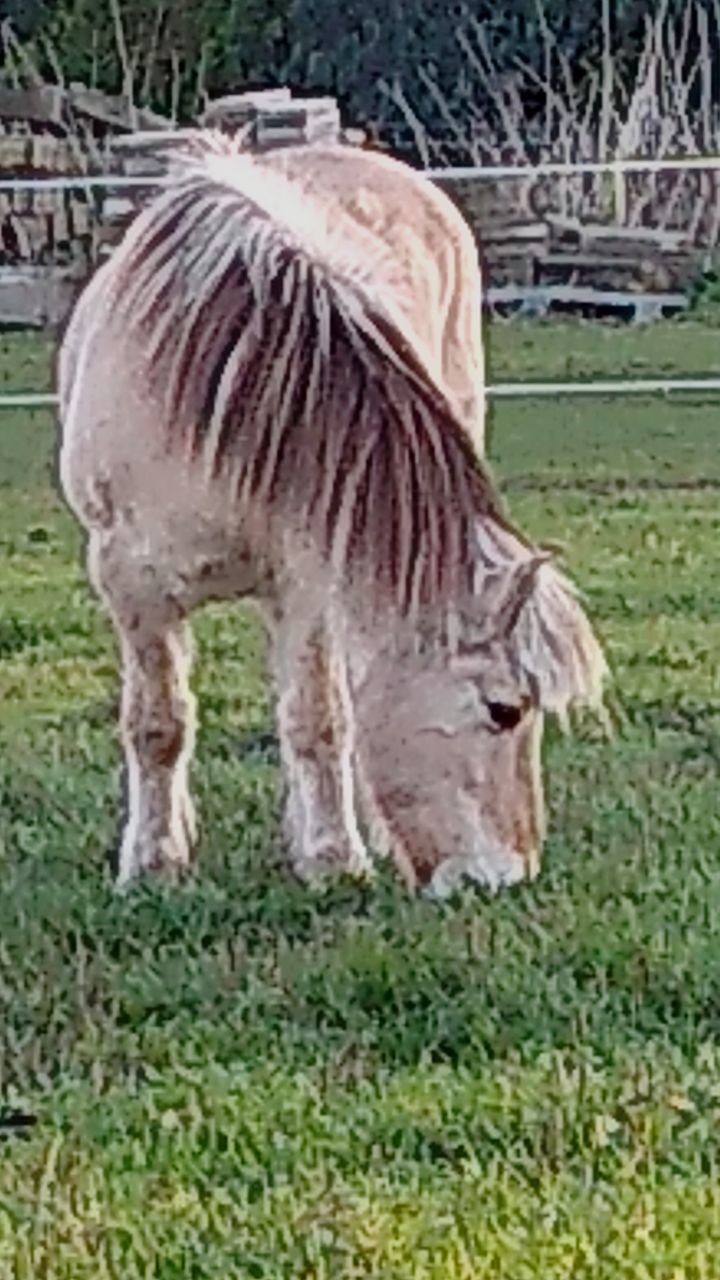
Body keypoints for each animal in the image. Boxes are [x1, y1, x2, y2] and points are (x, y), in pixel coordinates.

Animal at [57, 135, 604, 896]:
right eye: (505, 710)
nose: (508, 875)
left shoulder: (308, 584)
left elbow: (318, 720)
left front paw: (333, 859)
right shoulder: (130, 584)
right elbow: (158, 724)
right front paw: (154, 864)